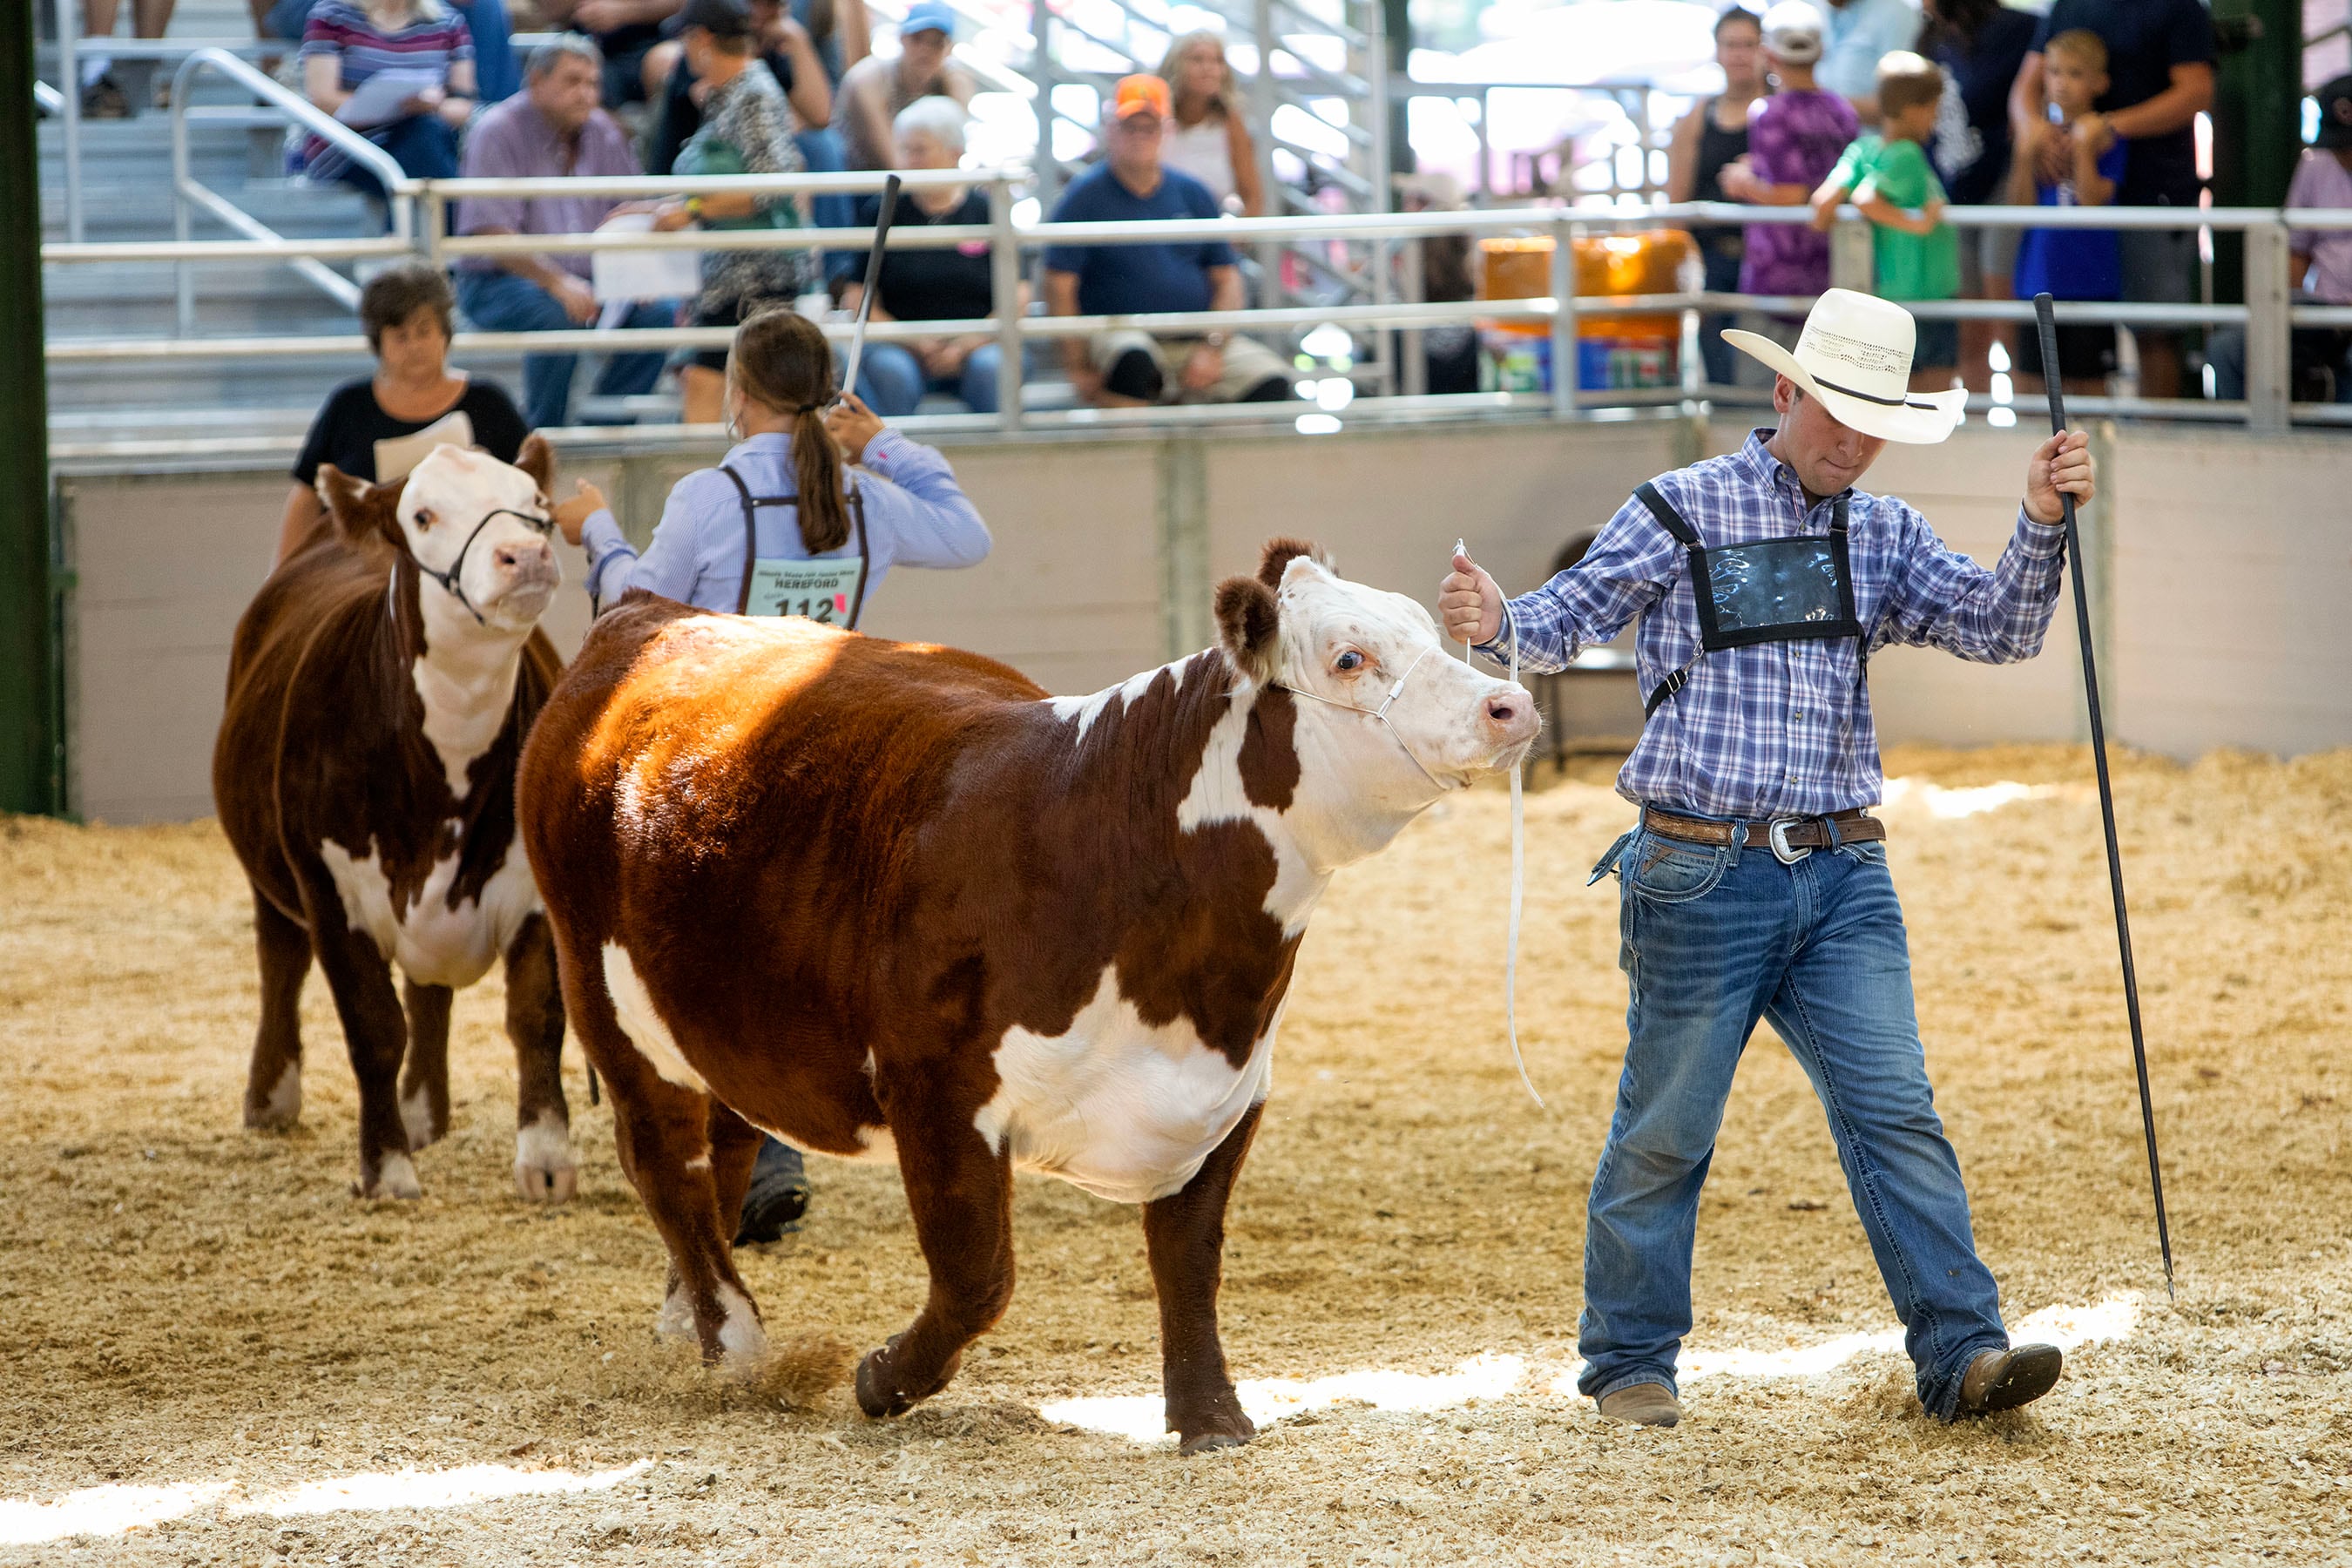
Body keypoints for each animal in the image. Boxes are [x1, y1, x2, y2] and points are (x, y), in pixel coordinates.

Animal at [215, 439, 578, 1203]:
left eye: (537, 503)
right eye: (424, 515)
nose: (525, 554)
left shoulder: (533, 891)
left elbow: (536, 1015)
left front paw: (546, 1162)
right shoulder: (332, 893)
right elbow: (373, 1028)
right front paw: (385, 1168)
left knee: (428, 996)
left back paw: (420, 1112)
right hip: (268, 869)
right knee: (279, 959)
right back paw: (273, 1097)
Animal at [517, 543, 1543, 1457]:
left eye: (1427, 628)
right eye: (1349, 657)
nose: (1510, 704)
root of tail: (648, 614)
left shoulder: (1227, 1096)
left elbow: (1190, 1259)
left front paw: (1211, 1419)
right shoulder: (937, 1092)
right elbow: (979, 1277)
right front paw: (880, 1379)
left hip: (727, 1018)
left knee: (725, 1151)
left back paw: (686, 1321)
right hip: (602, 993)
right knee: (667, 1162)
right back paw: (736, 1346)